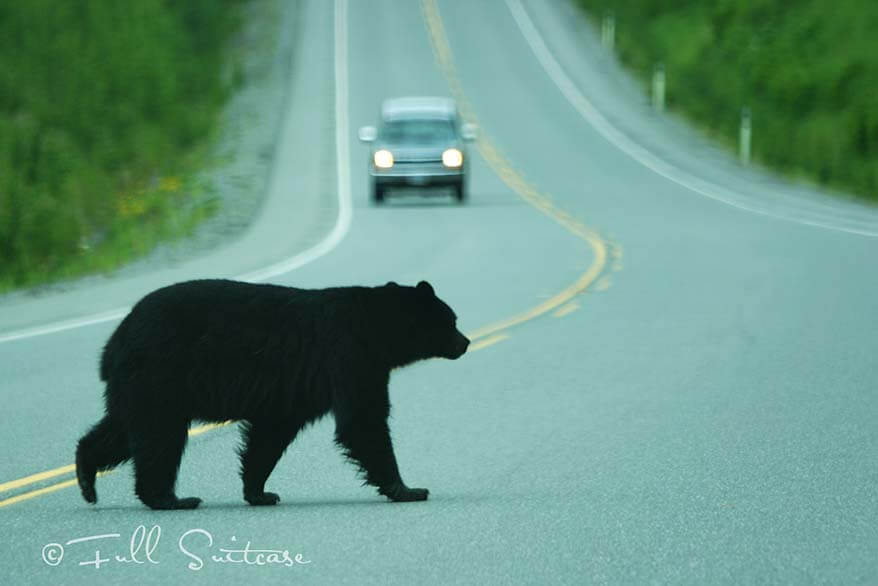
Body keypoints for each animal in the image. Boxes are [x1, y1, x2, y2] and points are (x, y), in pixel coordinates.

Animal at [75, 278, 470, 506]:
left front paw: (259, 492)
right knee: (159, 436)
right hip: (160, 374)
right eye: (452, 320)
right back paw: (171, 499)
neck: (378, 328)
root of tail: (115, 340)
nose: (465, 343)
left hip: (137, 385)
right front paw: (408, 490)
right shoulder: (350, 356)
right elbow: (363, 421)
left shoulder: (294, 388)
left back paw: (86, 478)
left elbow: (271, 433)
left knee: (123, 430)